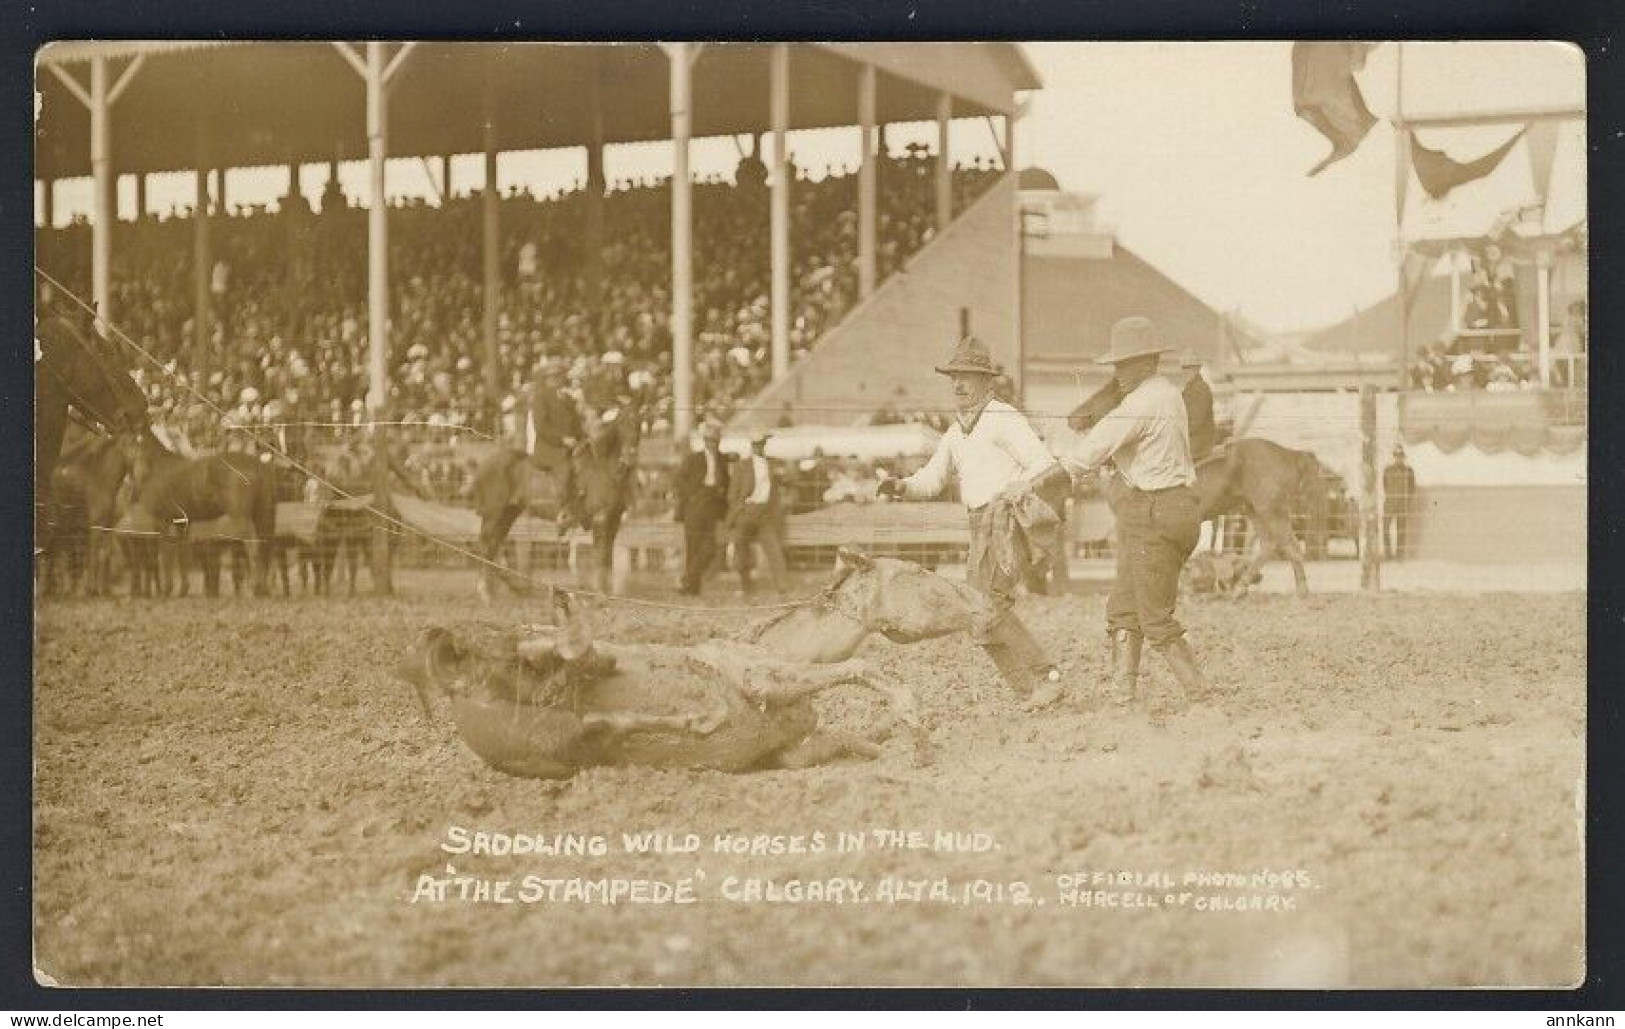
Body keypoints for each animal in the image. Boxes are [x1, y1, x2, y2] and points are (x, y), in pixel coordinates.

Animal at [399, 549, 1007, 773]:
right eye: (919, 573)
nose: (987, 602)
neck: (777, 644)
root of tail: (458, 684)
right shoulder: (767, 678)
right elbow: (871, 672)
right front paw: (917, 731)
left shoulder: (790, 750)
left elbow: (841, 740)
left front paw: (890, 741)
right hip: (520, 669)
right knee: (553, 656)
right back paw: (567, 620)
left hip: (562, 740)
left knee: (597, 717)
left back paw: (694, 719)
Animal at [468, 396, 643, 598]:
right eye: (623, 424)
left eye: (639, 424)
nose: (630, 459)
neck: (603, 469)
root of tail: (483, 464)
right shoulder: (601, 519)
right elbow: (600, 558)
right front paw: (599, 595)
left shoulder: (613, 521)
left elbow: (607, 559)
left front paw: (606, 595)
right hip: (493, 514)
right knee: (485, 546)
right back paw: (485, 592)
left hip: (508, 514)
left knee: (493, 546)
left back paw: (498, 589)